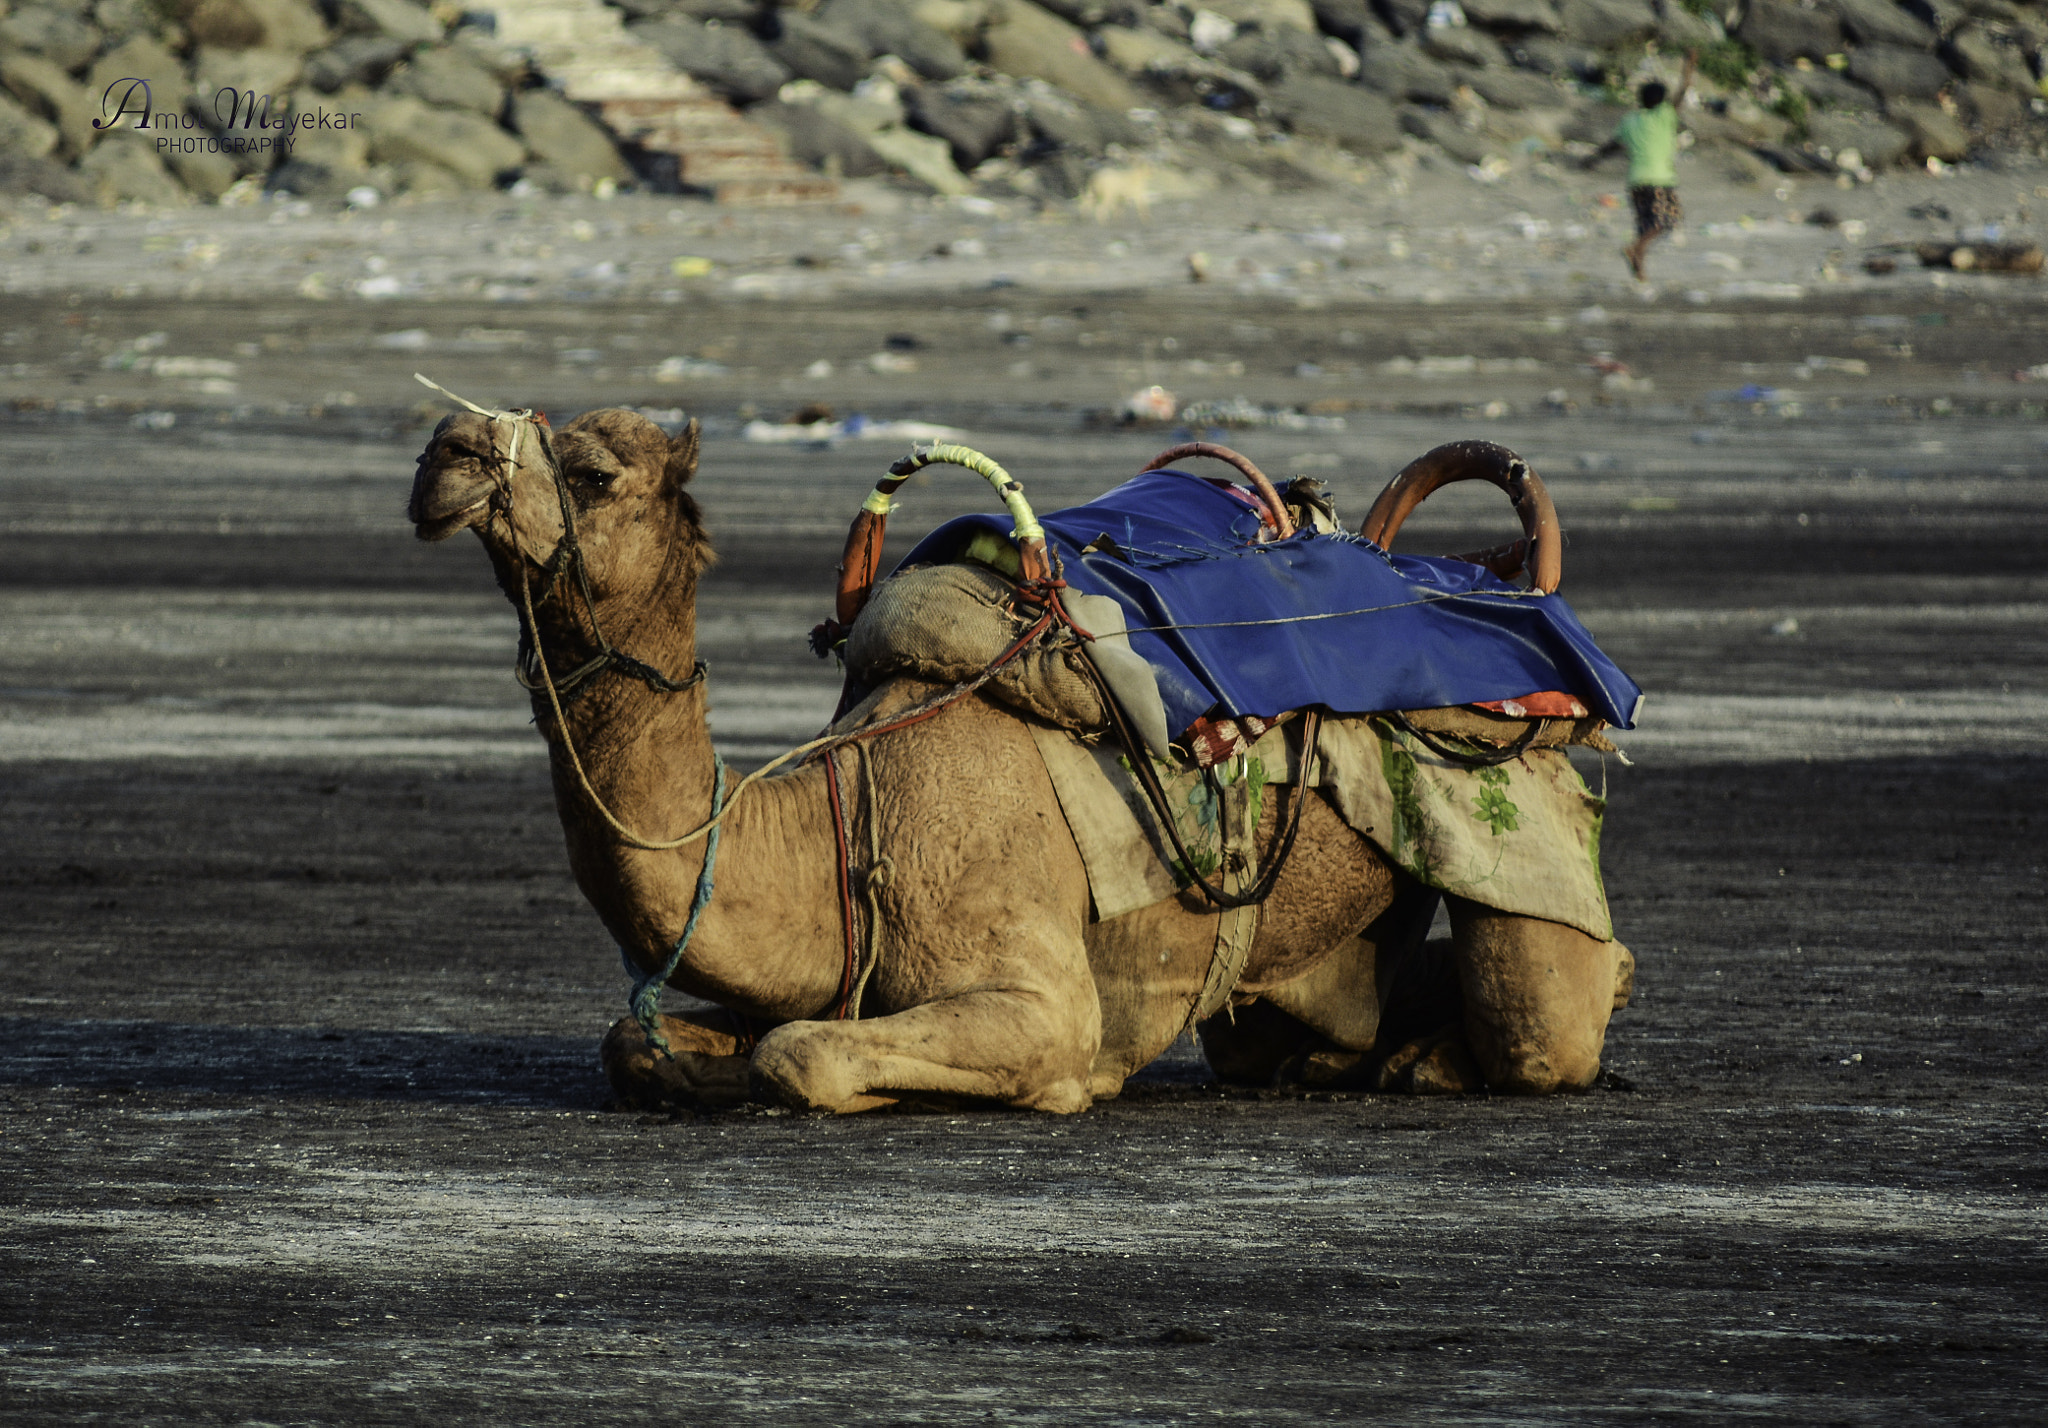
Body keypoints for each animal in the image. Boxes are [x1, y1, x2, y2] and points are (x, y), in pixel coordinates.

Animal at [411, 401, 1630, 1114]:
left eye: (595, 472)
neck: (844, 817)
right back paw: (1346, 1059)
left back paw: (1442, 1058)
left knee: (1542, 1022)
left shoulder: (1038, 992)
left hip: (1515, 809)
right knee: (1303, 1018)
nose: (444, 453)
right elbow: (636, 1039)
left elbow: (805, 1054)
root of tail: (1515, 578)